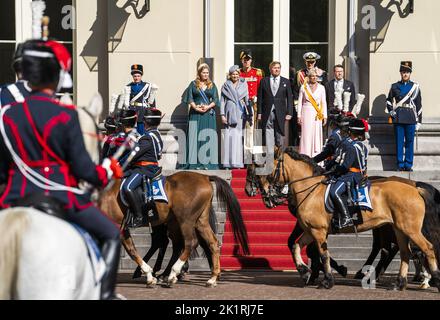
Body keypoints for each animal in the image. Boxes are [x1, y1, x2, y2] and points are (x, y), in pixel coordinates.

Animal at [99, 172, 249, 288]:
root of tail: (204, 176)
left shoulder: (118, 227)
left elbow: (132, 251)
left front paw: (149, 276)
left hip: (185, 220)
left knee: (188, 243)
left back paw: (172, 274)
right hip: (198, 221)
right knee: (211, 243)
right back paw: (212, 278)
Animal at [258, 149, 440, 292]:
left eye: (269, 167)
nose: (265, 194)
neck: (311, 190)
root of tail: (415, 187)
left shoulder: (318, 231)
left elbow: (323, 255)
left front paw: (327, 280)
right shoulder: (311, 231)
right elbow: (297, 246)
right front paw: (304, 271)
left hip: (410, 229)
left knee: (427, 248)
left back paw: (434, 279)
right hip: (399, 229)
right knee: (404, 252)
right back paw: (399, 283)